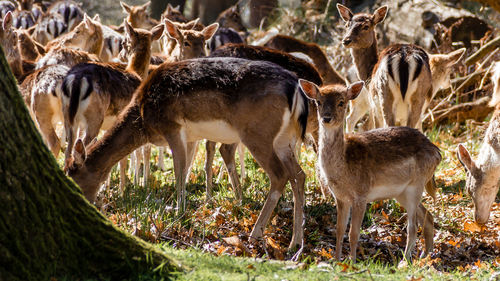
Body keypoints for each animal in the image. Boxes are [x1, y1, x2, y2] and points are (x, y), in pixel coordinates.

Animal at [61, 20, 164, 190]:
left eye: (124, 42)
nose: (120, 56)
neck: (136, 73)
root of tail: (77, 79)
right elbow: (124, 158)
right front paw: (124, 189)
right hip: (94, 118)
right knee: (84, 148)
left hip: (69, 117)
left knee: (69, 149)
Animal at [66, 55, 308, 250]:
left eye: (72, 174)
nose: (80, 202)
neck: (143, 119)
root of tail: (296, 89)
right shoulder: (189, 137)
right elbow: (187, 168)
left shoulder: (172, 126)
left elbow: (179, 171)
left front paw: (178, 213)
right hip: (285, 139)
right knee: (299, 174)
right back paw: (295, 242)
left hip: (257, 133)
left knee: (279, 175)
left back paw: (255, 233)